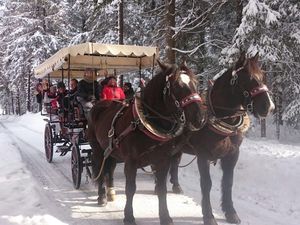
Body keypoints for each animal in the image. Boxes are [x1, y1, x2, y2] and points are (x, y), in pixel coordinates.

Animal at [86, 60, 204, 225]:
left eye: (196, 83)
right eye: (176, 86)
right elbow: (130, 189)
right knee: (101, 171)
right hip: (97, 149)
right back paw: (102, 196)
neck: (145, 122)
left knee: (110, 169)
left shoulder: (162, 160)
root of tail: (97, 105)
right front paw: (129, 216)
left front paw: (165, 217)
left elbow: (161, 189)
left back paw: (111, 192)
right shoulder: (131, 161)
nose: (199, 118)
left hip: (111, 150)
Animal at [164, 53, 274, 225]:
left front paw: (231, 213)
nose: (268, 107)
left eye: (263, 76)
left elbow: (228, 182)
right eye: (247, 79)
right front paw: (208, 215)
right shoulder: (203, 155)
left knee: (174, 162)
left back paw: (176, 185)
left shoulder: (232, 154)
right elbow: (206, 183)